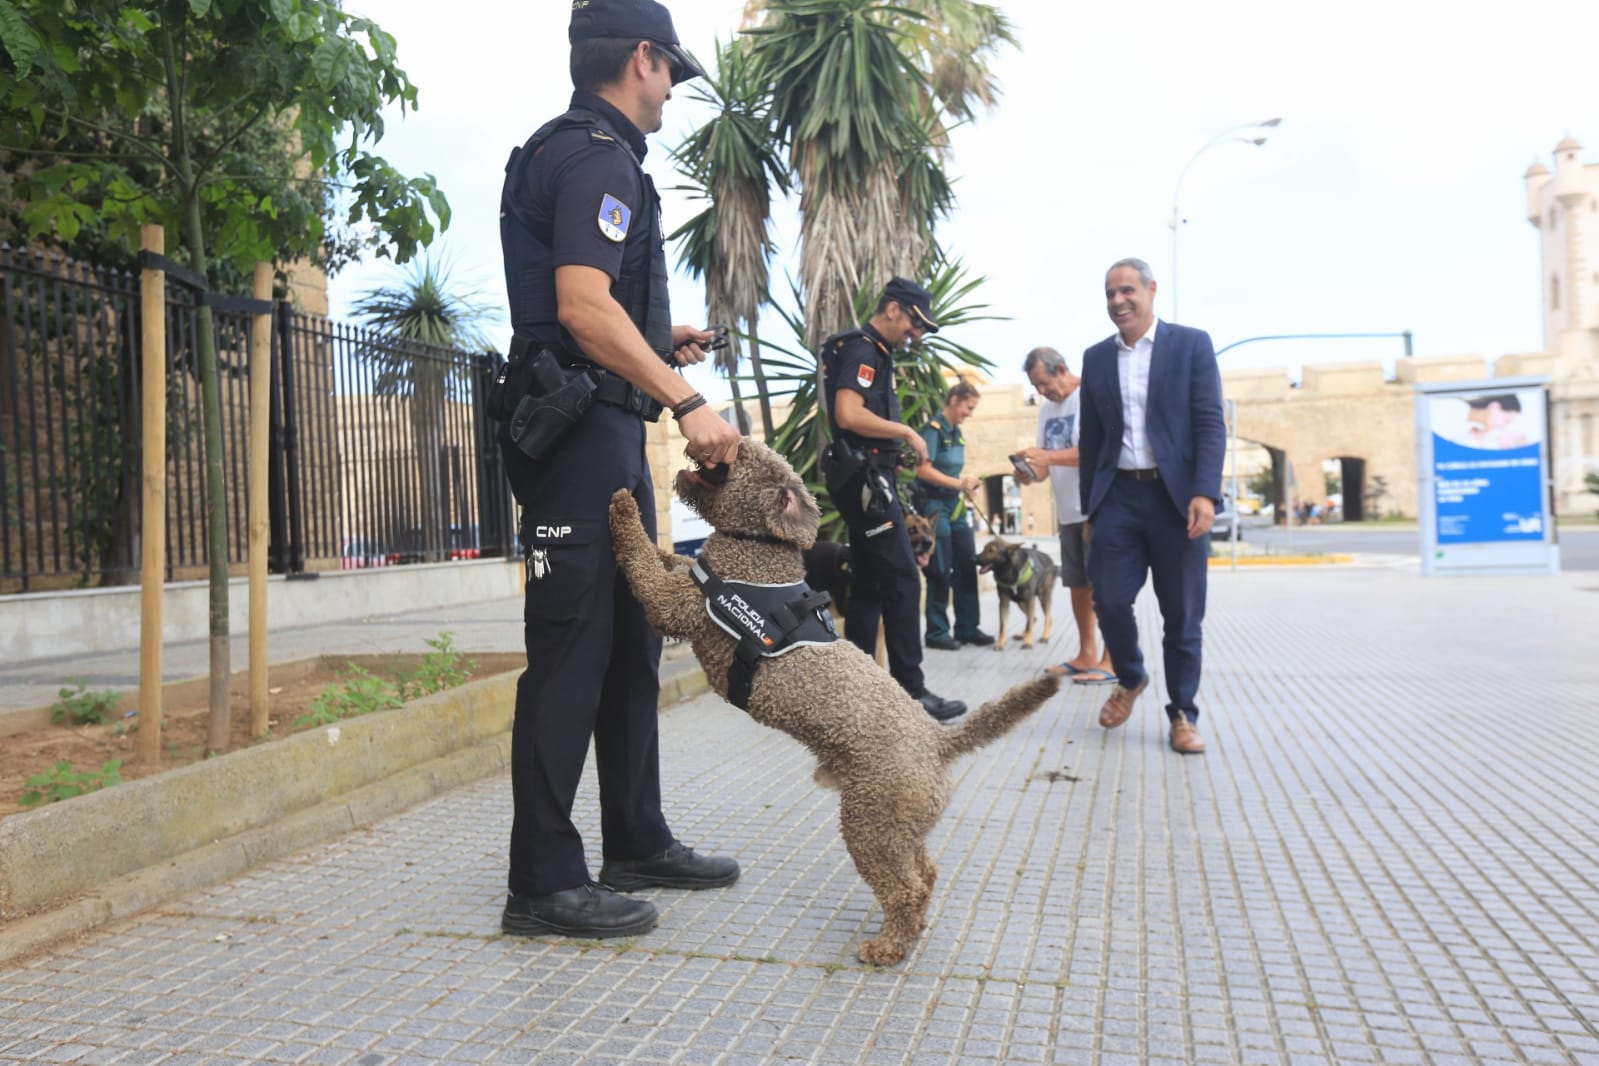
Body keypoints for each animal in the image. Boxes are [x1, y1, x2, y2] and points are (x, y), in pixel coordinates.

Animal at [604, 441, 1055, 965]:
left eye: (743, 454)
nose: (704, 441)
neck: (759, 553)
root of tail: (939, 742)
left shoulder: (678, 606)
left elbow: (642, 560)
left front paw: (623, 508)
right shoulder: (687, 578)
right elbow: (666, 558)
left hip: (869, 823)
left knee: (906, 887)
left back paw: (886, 947)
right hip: (903, 826)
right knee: (926, 874)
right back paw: (910, 930)